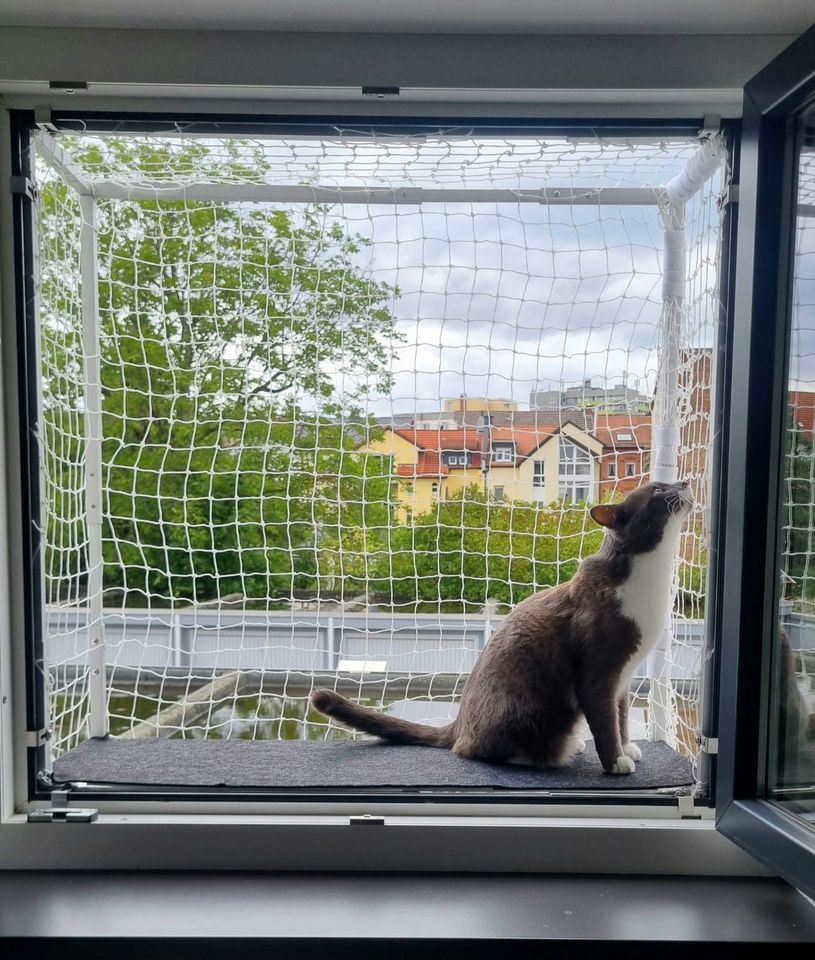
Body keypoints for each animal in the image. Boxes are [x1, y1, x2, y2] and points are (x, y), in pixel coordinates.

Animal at [312, 478, 696, 772]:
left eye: (666, 483)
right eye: (658, 490)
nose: (685, 482)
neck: (651, 578)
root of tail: (459, 724)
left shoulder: (625, 676)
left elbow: (620, 716)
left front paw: (626, 747)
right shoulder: (600, 672)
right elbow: (604, 720)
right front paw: (615, 761)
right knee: (473, 749)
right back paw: (549, 753)